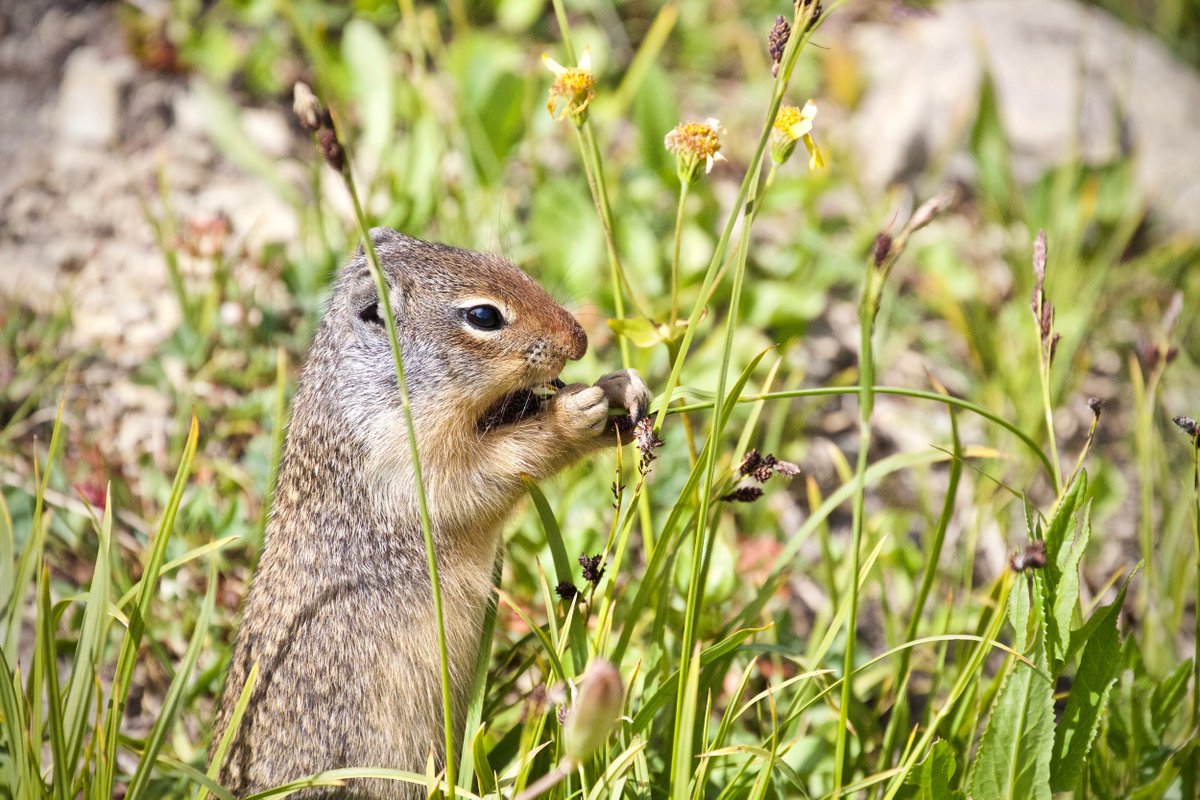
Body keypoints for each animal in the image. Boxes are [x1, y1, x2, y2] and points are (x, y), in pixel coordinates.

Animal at [211, 227, 652, 796]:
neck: (382, 387)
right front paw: (576, 412)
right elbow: (498, 465)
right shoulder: (414, 463)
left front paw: (621, 385)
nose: (578, 340)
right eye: (483, 316)